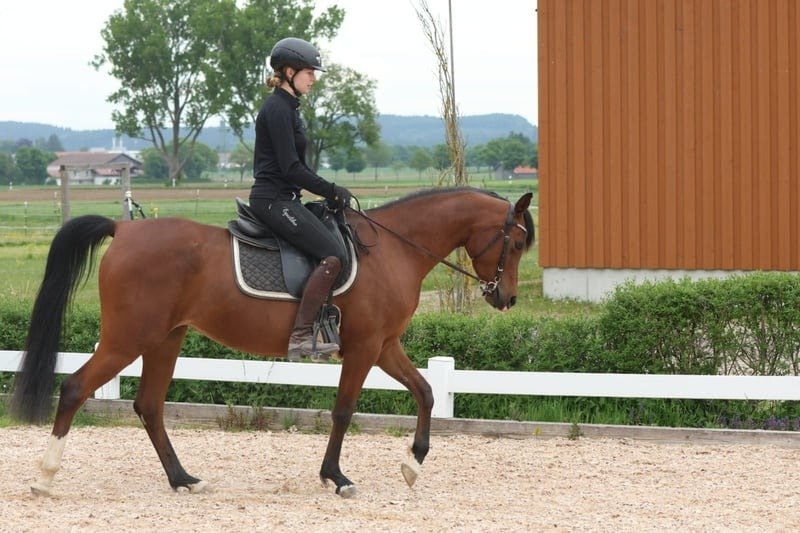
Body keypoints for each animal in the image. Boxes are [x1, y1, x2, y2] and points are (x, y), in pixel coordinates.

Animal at [12, 187, 534, 498]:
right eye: (516, 244)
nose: (507, 298)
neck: (394, 250)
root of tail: (125, 228)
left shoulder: (385, 345)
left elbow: (425, 392)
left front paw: (413, 464)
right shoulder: (364, 349)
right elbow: (343, 411)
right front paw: (336, 477)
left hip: (165, 338)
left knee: (149, 406)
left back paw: (183, 479)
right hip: (128, 338)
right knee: (75, 389)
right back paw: (44, 478)